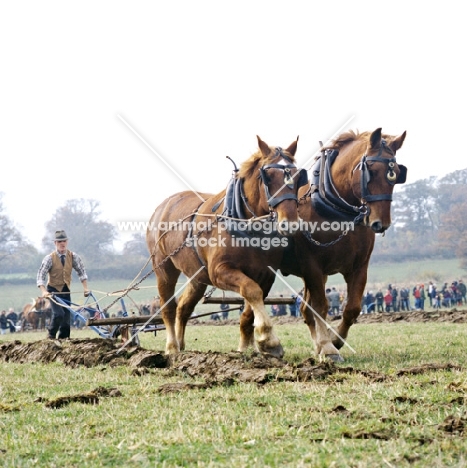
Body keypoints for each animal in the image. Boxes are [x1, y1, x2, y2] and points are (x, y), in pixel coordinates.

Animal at [146, 135, 308, 358]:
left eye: (297, 176)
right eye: (266, 176)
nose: (289, 223)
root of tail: (161, 207)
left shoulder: (266, 274)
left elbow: (250, 308)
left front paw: (246, 347)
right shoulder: (219, 271)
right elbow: (251, 290)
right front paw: (269, 340)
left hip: (197, 276)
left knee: (183, 308)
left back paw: (181, 344)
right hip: (164, 269)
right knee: (168, 307)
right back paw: (172, 347)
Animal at [239, 128, 408, 362]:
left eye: (396, 174)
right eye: (371, 171)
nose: (379, 223)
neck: (335, 210)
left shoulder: (359, 267)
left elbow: (352, 308)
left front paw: (334, 340)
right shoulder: (312, 267)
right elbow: (320, 306)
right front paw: (329, 348)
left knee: (303, 309)